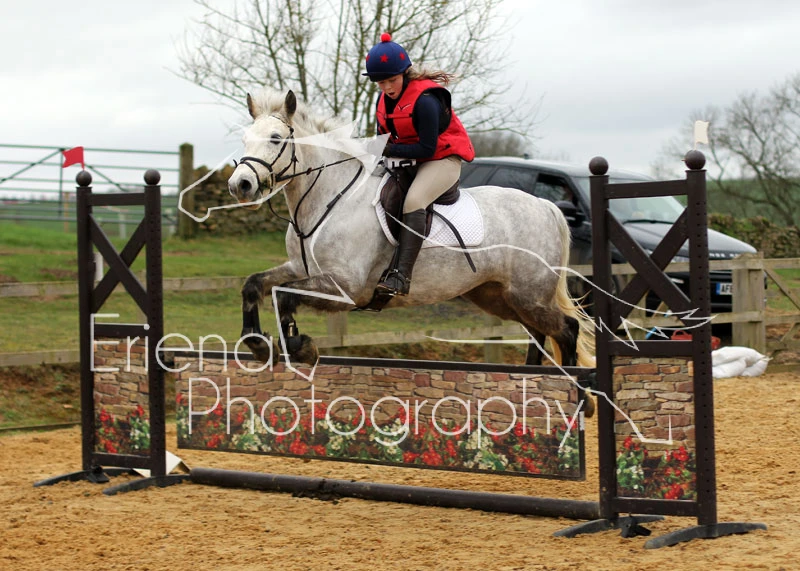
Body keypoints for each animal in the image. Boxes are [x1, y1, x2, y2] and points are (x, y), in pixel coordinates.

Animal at [227, 89, 595, 373]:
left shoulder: (345, 286)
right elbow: (255, 285)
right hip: (498, 295)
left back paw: (577, 397)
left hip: (527, 294)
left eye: (275, 139)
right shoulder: (299, 269)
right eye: (244, 139)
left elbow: (285, 296)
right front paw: (258, 343)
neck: (329, 196)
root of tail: (546, 207)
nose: (240, 185)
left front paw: (299, 346)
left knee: (568, 329)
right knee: (540, 332)